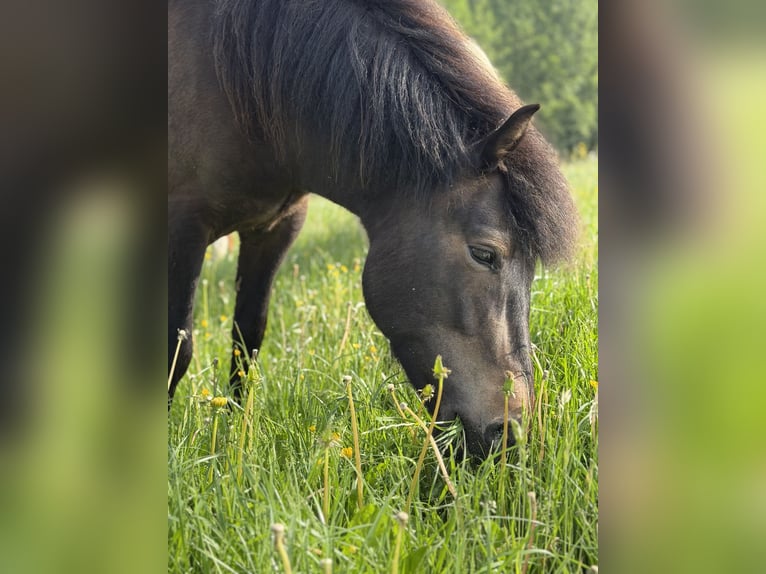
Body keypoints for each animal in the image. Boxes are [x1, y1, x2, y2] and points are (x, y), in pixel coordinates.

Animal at [168, 0, 578, 457]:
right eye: (484, 253)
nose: (511, 434)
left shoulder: (276, 228)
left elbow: (247, 340)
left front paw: (235, 439)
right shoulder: (182, 226)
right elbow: (176, 348)